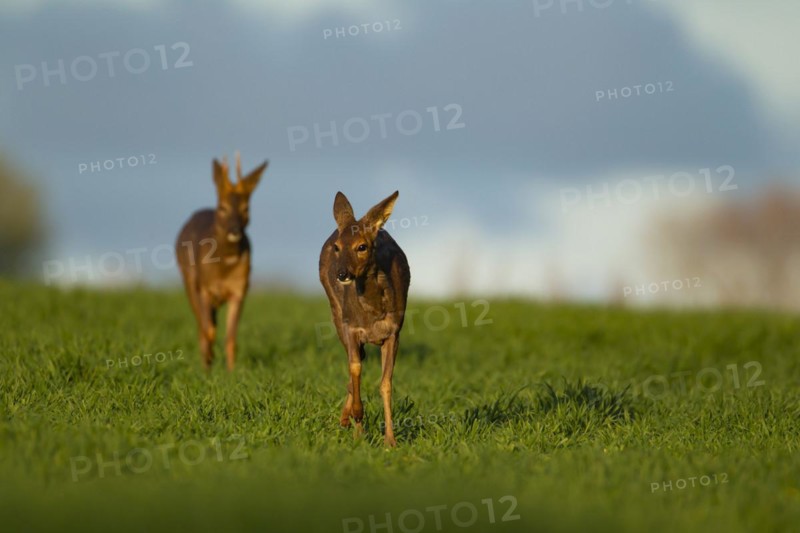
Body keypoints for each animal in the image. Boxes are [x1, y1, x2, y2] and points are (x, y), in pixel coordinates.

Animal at [175, 152, 267, 371]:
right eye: (223, 207)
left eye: (246, 208)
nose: (235, 231)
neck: (223, 269)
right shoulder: (204, 289)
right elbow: (209, 330)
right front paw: (207, 368)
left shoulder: (239, 290)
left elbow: (231, 338)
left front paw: (231, 372)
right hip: (189, 281)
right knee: (202, 326)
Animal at [319, 191, 411, 447]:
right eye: (338, 247)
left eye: (362, 246)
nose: (342, 273)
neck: (372, 315)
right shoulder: (351, 327)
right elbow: (356, 368)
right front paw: (358, 421)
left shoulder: (394, 332)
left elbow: (386, 384)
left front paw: (390, 441)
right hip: (336, 313)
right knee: (355, 363)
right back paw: (348, 421)